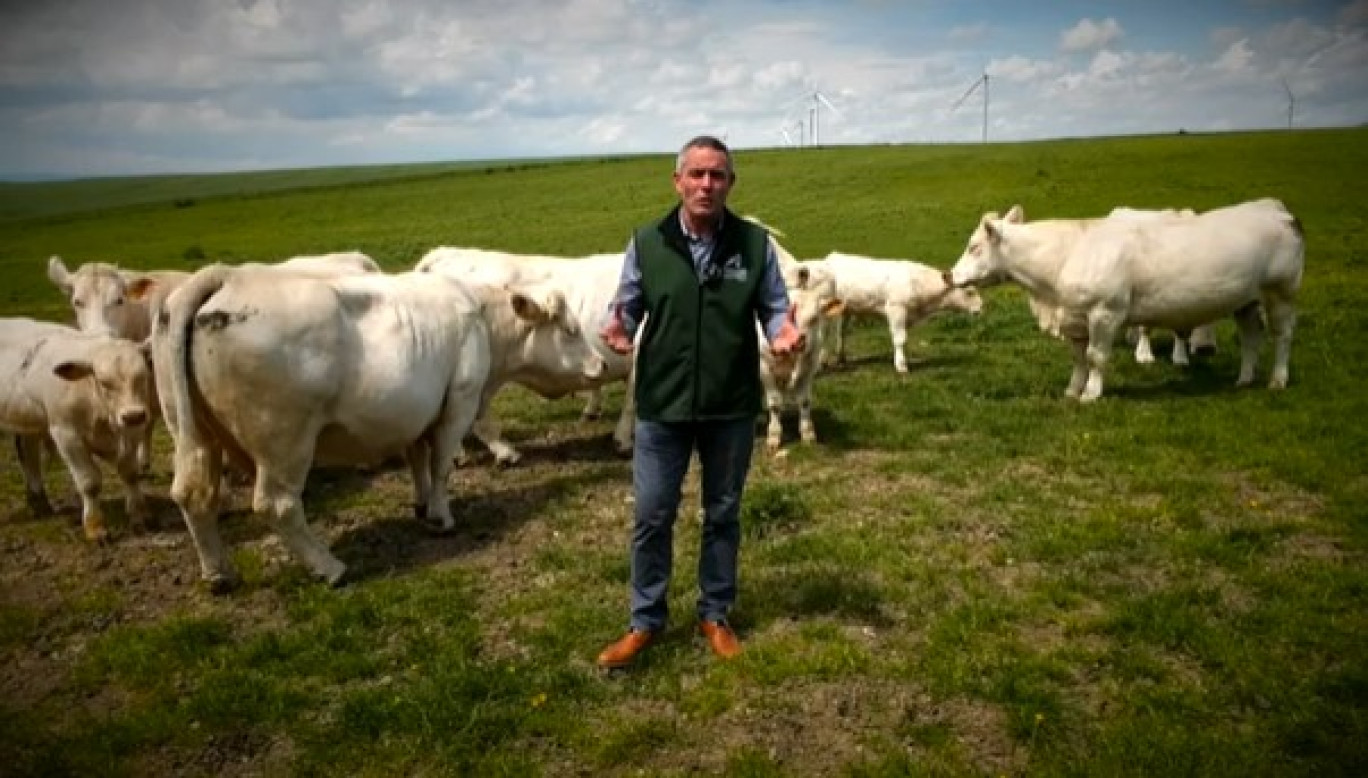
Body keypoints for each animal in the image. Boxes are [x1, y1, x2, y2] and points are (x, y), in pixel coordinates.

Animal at [153, 262, 495, 587]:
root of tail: (226, 274)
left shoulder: (417, 414)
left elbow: (418, 458)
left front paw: (422, 506)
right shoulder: (462, 397)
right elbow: (441, 465)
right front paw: (440, 517)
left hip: (191, 428)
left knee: (193, 494)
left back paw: (219, 574)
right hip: (285, 438)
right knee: (276, 504)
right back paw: (331, 568)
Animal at [798, 248, 984, 369]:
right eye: (970, 291)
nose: (981, 308)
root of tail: (830, 257)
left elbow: (904, 340)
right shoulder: (896, 310)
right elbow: (900, 339)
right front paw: (901, 366)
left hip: (846, 309)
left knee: (841, 333)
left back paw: (841, 358)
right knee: (824, 334)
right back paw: (822, 362)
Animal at [952, 198, 1302, 399]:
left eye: (973, 246)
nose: (950, 275)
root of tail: (1274, 208)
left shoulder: (1104, 313)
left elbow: (1096, 357)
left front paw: (1091, 394)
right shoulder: (1075, 318)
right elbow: (1079, 359)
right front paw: (1072, 390)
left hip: (1281, 292)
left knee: (1283, 335)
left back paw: (1277, 379)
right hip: (1246, 301)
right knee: (1251, 337)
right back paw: (1244, 379)